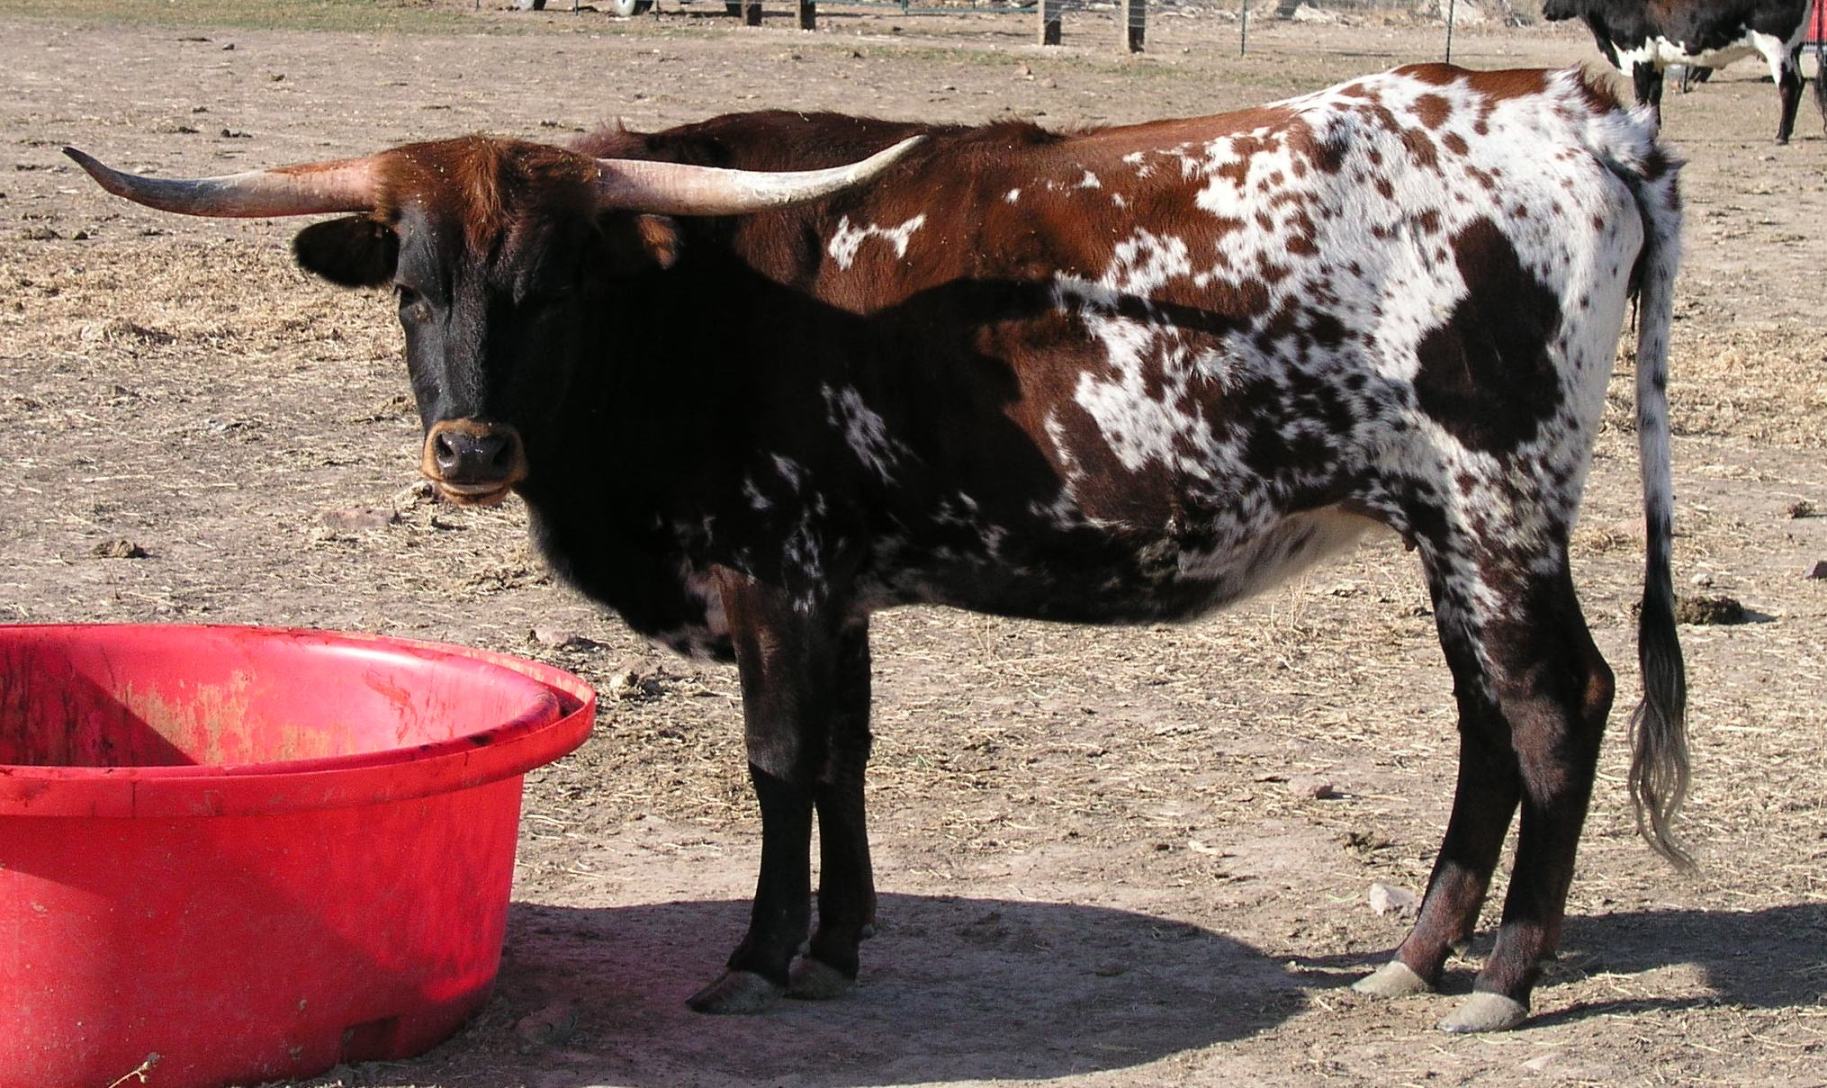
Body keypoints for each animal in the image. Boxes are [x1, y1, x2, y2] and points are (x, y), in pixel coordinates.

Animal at [68, 63, 1690, 1034]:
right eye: (412, 287)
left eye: (551, 285)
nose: (469, 451)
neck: (693, 305)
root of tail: (1577, 107)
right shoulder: (836, 590)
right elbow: (846, 760)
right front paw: (840, 944)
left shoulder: (772, 574)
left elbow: (783, 764)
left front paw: (756, 955)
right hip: (1446, 530)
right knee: (1487, 720)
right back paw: (1421, 950)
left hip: (1494, 508)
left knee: (1558, 706)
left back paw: (1503, 979)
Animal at [1540, 0, 1827, 143]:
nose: (1544, 10)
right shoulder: (1655, 60)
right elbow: (1654, 97)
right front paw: (1654, 129)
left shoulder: (1640, 56)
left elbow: (1641, 97)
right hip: (1793, 49)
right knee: (1800, 84)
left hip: (1777, 47)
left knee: (1789, 86)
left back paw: (1781, 135)